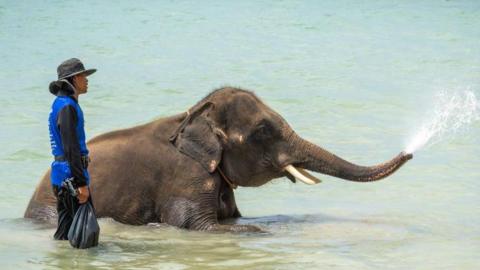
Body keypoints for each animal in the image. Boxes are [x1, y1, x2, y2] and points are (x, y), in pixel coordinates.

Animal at [24, 87, 410, 232]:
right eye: (263, 131)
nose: (410, 151)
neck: (191, 114)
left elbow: (232, 218)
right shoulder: (185, 177)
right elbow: (198, 226)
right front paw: (257, 232)